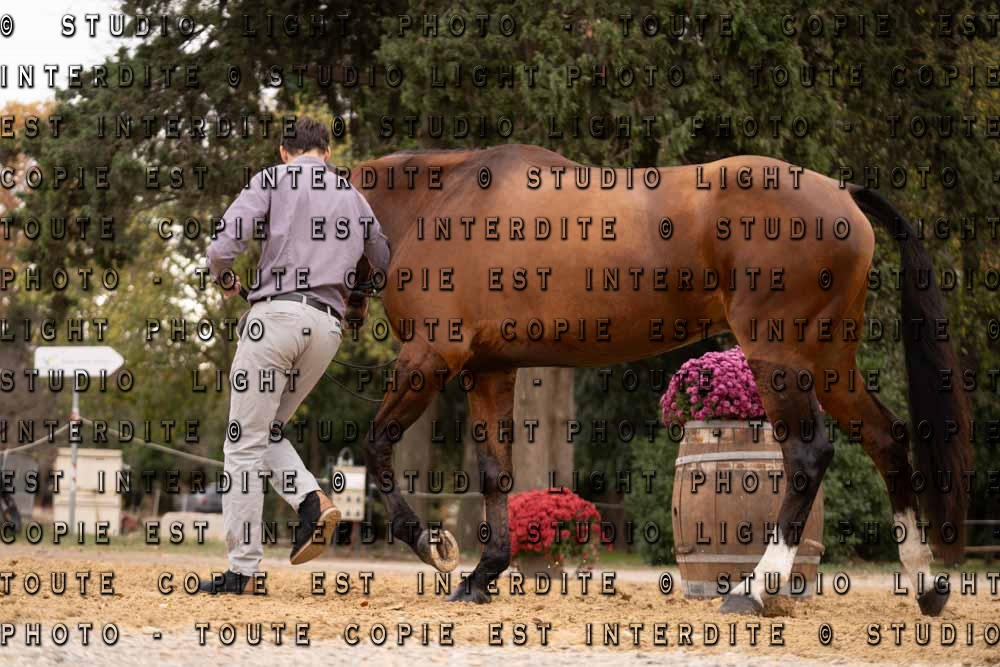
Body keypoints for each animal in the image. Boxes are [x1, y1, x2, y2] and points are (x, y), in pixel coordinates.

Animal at [347, 144, 972, 616]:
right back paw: (925, 586)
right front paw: (482, 575)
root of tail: (842, 193)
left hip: (780, 359)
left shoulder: (431, 356)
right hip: (829, 362)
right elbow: (495, 473)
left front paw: (431, 545)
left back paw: (753, 590)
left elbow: (376, 443)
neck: (437, 201)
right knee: (886, 439)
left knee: (807, 454)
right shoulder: (489, 370)